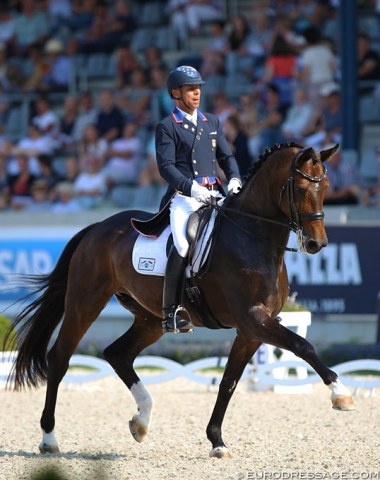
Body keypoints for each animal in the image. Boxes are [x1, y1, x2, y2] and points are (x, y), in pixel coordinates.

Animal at [4, 142, 354, 458]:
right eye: (301, 186)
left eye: (326, 187)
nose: (317, 244)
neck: (253, 237)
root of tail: (97, 228)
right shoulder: (253, 318)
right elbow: (302, 345)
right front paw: (341, 394)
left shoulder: (251, 329)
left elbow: (229, 381)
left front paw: (217, 441)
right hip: (85, 302)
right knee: (59, 359)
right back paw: (49, 439)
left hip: (150, 319)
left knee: (117, 354)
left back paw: (141, 421)